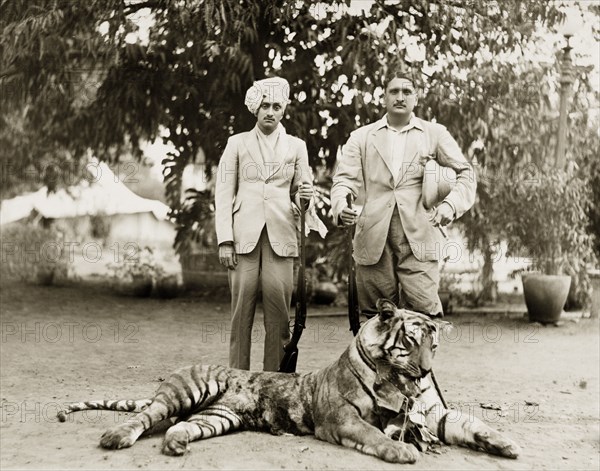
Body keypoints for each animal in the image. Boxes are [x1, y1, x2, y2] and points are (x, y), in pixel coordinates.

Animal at [57, 300, 520, 462]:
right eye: (410, 342)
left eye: (434, 346)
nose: (425, 372)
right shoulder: (344, 420)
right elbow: (376, 436)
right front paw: (402, 452)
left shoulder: (433, 414)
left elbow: (472, 423)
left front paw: (505, 444)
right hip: (186, 390)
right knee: (147, 416)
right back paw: (116, 437)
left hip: (216, 417)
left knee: (177, 427)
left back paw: (176, 446)